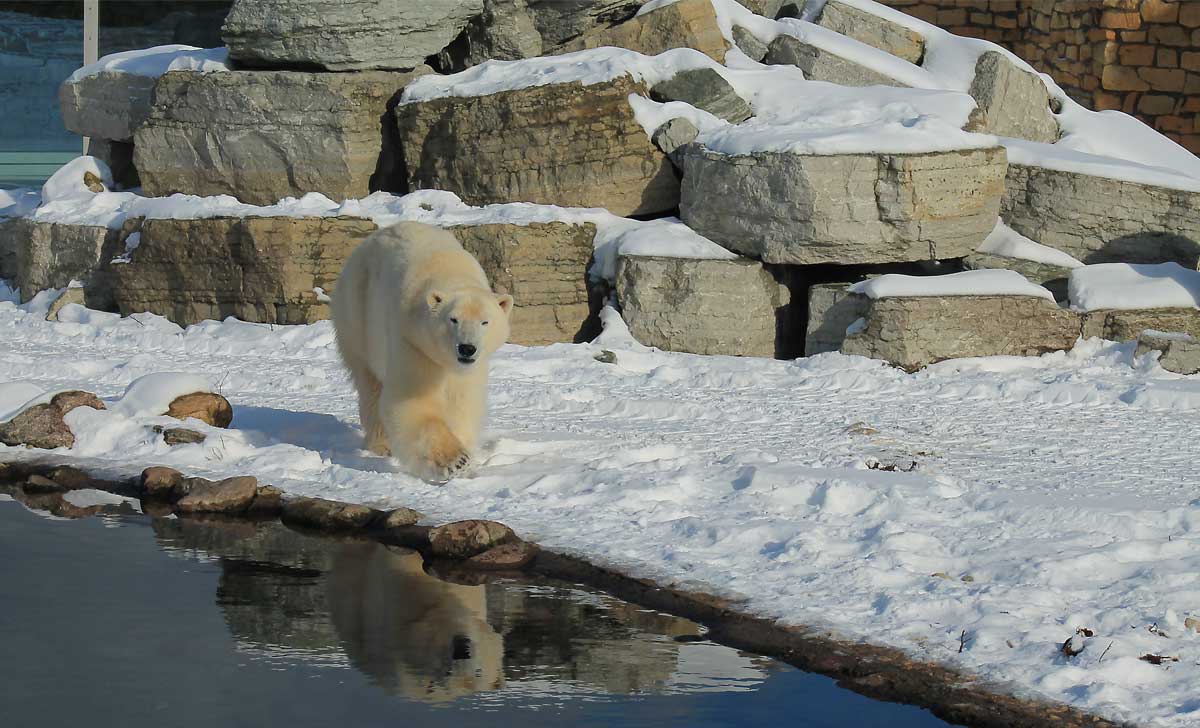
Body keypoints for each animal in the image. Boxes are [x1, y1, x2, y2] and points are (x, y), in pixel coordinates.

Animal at [331, 225, 513, 482]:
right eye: (453, 319)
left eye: (485, 322)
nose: (467, 348)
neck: (451, 272)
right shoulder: (413, 342)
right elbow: (415, 402)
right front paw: (456, 460)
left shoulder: (470, 368)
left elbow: (462, 402)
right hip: (358, 314)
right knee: (370, 385)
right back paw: (381, 445)